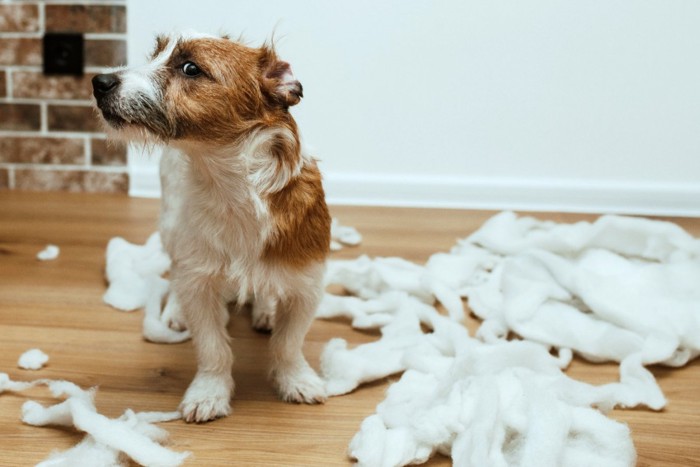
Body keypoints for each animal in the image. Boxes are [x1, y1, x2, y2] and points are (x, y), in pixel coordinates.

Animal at [91, 32, 330, 424]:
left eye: (190, 68)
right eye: (155, 54)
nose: (99, 81)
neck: (231, 189)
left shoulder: (306, 284)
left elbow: (288, 343)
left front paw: (296, 380)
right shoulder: (200, 282)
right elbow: (212, 347)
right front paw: (209, 393)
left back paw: (265, 309)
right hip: (171, 225)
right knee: (176, 273)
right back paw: (176, 311)